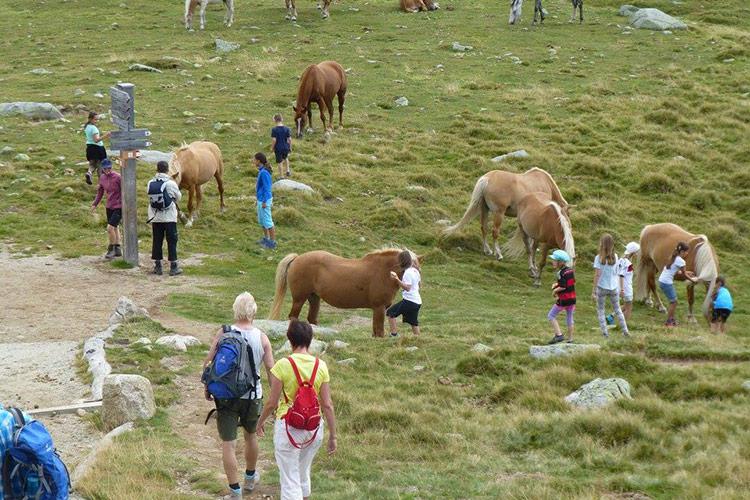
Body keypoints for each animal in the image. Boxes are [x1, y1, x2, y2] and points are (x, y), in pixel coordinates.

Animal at [268, 247, 418, 336]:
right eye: (410, 267)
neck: (383, 272)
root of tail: (297, 258)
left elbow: (376, 331)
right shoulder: (379, 308)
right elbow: (379, 331)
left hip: (314, 298)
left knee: (311, 319)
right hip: (299, 299)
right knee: (293, 316)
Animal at [444, 169, 572, 262]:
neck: (546, 184)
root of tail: (487, 179)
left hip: (484, 209)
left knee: (484, 228)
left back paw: (487, 250)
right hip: (499, 213)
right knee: (495, 232)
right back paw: (498, 254)